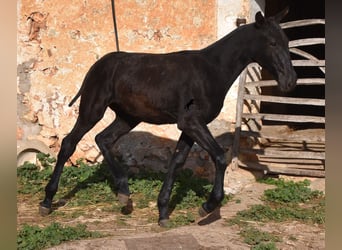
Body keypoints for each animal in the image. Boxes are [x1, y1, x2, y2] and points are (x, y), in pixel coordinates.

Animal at [39, 8, 296, 226]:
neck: (211, 70)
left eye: (286, 42)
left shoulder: (189, 126)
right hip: (92, 109)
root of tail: (97, 65)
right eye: (272, 43)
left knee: (103, 139)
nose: (290, 82)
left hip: (128, 117)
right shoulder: (192, 122)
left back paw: (124, 194)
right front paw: (207, 206)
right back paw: (47, 201)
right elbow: (220, 157)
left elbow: (177, 161)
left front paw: (163, 211)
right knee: (69, 143)